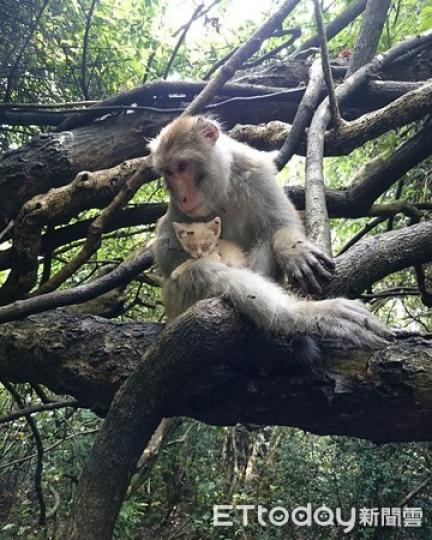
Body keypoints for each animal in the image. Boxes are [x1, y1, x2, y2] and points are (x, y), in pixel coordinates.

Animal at [149, 115, 392, 350]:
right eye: (169, 172)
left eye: (182, 166)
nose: (183, 197)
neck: (221, 188)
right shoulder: (177, 210)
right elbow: (166, 253)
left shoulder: (255, 169)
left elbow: (279, 223)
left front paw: (294, 251)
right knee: (202, 272)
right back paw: (305, 315)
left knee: (264, 238)